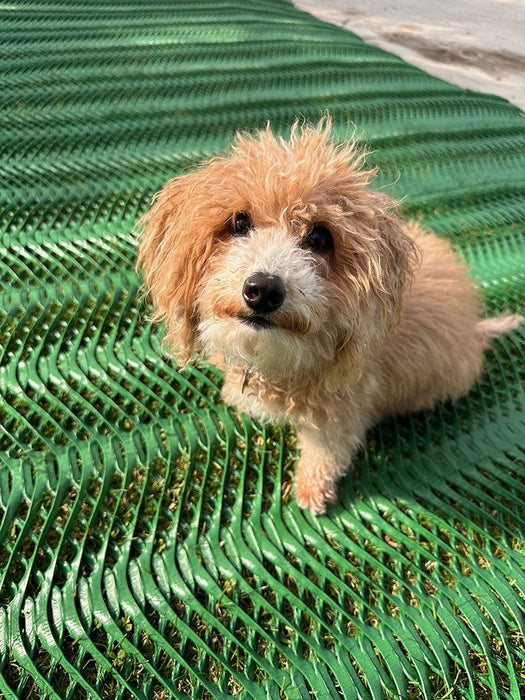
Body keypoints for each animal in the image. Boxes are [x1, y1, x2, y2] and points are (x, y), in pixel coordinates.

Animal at [136, 120, 520, 516]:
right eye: (239, 223)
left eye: (320, 237)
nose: (263, 289)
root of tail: (476, 329)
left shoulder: (340, 417)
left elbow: (325, 456)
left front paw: (310, 492)